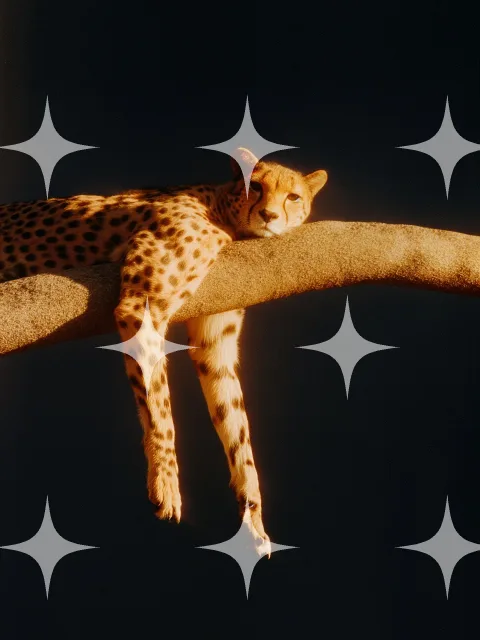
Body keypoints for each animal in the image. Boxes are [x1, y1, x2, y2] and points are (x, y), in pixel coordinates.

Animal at [0, 148, 328, 556]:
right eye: (256, 186)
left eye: (293, 196)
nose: (268, 215)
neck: (223, 208)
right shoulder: (143, 307)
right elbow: (159, 404)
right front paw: (165, 477)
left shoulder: (215, 345)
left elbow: (236, 424)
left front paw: (253, 513)